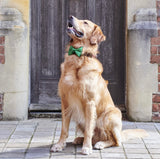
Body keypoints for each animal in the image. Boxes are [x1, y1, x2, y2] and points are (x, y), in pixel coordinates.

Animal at [51, 15, 148, 155]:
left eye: (85, 22)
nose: (70, 16)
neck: (79, 56)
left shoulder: (89, 102)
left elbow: (89, 130)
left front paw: (86, 148)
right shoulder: (65, 101)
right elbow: (64, 128)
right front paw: (59, 145)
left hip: (110, 115)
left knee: (115, 141)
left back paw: (100, 144)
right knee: (96, 136)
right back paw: (79, 139)